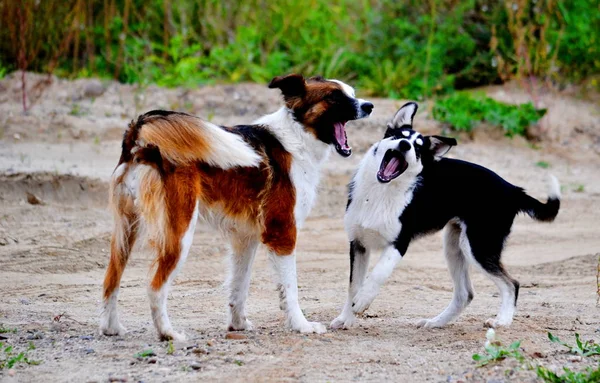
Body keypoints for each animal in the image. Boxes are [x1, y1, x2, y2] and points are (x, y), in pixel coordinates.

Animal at [101, 74, 372, 340]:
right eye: (334, 97)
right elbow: (290, 289)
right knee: (154, 287)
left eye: (352, 93)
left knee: (111, 281)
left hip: (126, 232)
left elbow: (239, 287)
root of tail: (139, 138)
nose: (369, 106)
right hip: (180, 234)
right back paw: (168, 333)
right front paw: (301, 325)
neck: (296, 137)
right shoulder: (283, 233)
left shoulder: (245, 238)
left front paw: (238, 324)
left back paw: (111, 328)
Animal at [330, 102, 560, 330]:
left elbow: (378, 273)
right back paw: (435, 322)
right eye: (399, 136)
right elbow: (353, 285)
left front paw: (363, 300)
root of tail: (512, 189)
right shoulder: (358, 244)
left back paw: (502, 321)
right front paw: (346, 318)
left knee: (511, 284)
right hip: (454, 247)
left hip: (478, 247)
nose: (404, 145)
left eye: (418, 148)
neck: (380, 192)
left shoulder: (399, 244)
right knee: (465, 294)